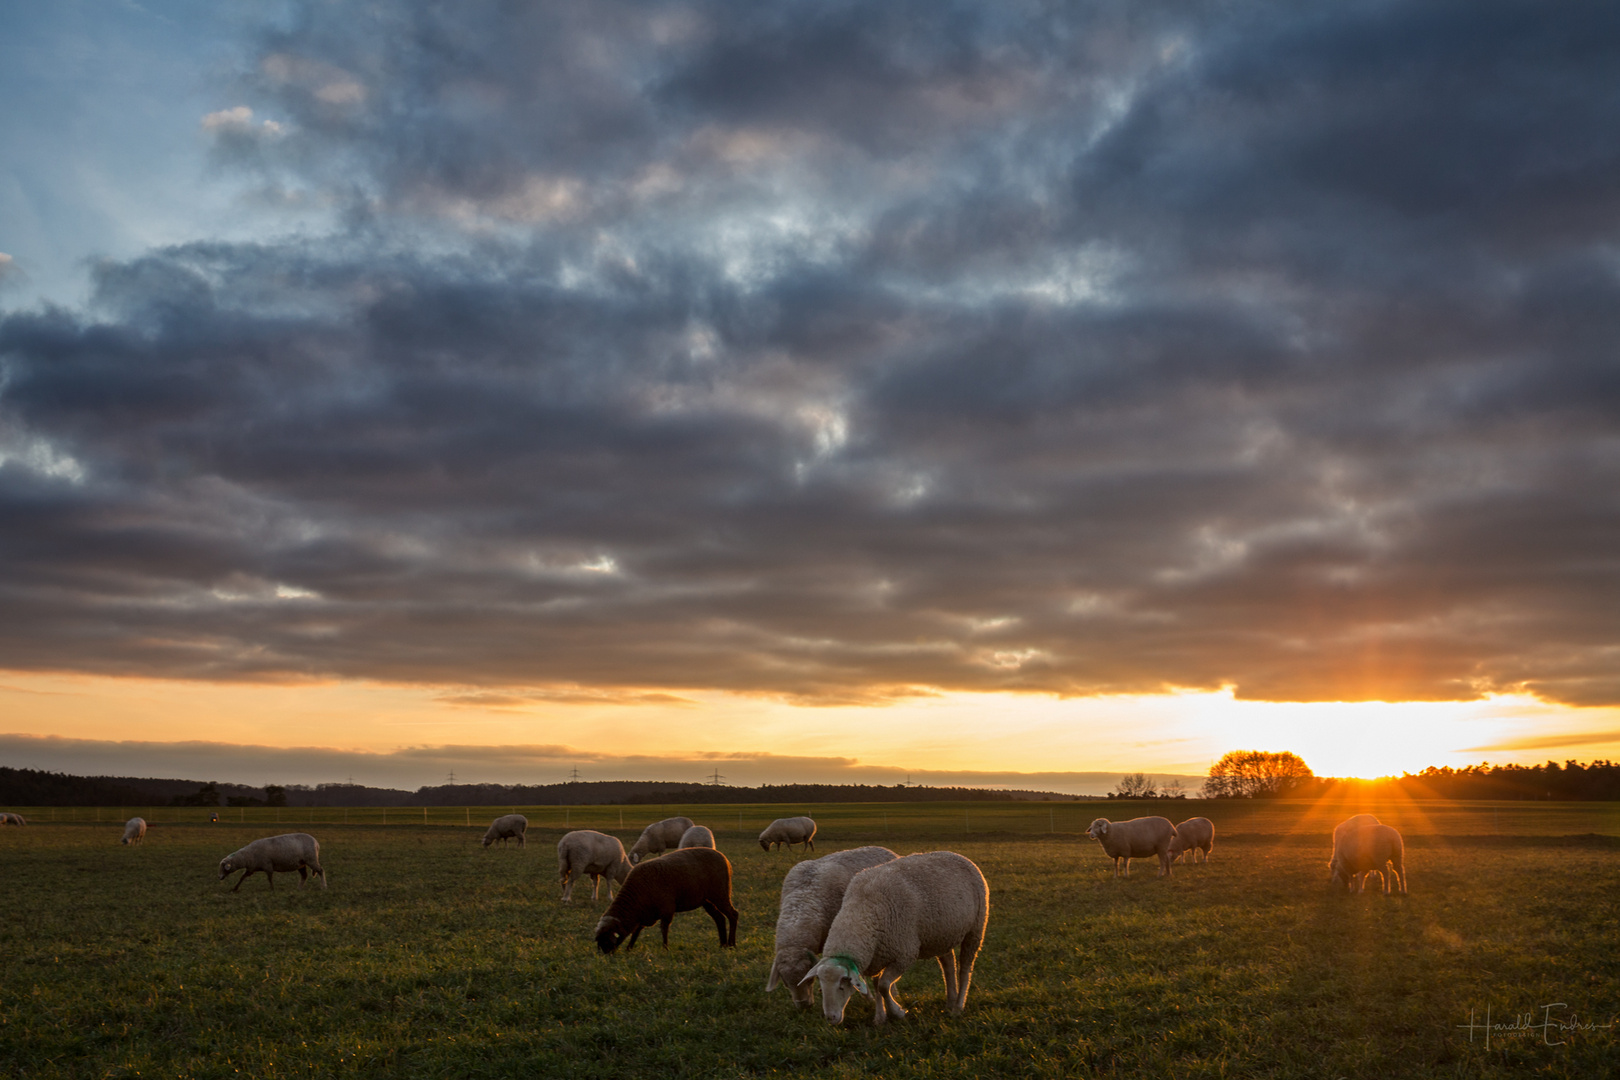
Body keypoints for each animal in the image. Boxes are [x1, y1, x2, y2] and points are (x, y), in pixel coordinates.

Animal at [592, 848, 738, 952]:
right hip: (707, 900)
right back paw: (722, 944)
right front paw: (629, 948)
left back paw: (731, 944)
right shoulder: (646, 914)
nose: (604, 955)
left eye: (606, 940)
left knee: (733, 915)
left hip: (720, 894)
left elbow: (664, 929)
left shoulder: (667, 909)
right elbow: (636, 931)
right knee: (719, 918)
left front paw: (665, 948)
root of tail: (724, 858)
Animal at [800, 848, 984, 1029]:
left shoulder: (904, 955)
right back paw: (950, 1002)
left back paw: (958, 1007)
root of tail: (954, 854)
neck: (862, 913)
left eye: (842, 985)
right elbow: (876, 986)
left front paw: (898, 1012)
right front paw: (880, 1017)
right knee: (948, 964)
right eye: (821, 988)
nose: (830, 1018)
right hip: (941, 936)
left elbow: (883, 986)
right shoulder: (877, 956)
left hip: (975, 929)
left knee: (965, 968)